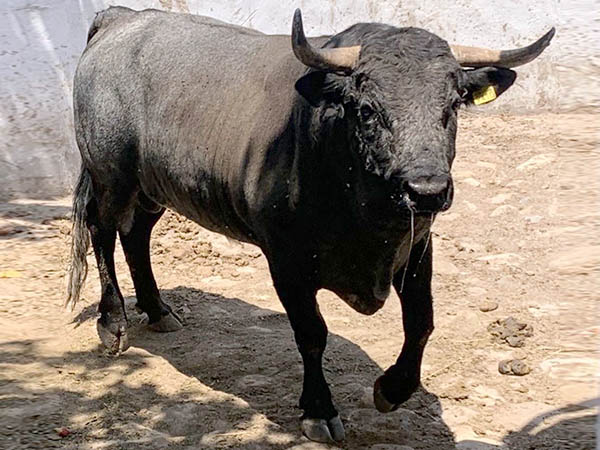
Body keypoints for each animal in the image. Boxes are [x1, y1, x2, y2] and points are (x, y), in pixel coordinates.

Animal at [66, 6, 553, 442]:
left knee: (137, 234)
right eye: (367, 109)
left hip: (151, 187)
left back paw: (158, 310)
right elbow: (312, 333)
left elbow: (421, 323)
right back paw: (113, 323)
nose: (427, 189)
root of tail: (123, 18)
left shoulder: (418, 245)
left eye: (452, 105)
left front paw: (392, 389)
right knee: (103, 232)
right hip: (110, 176)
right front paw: (319, 411)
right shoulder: (286, 260)